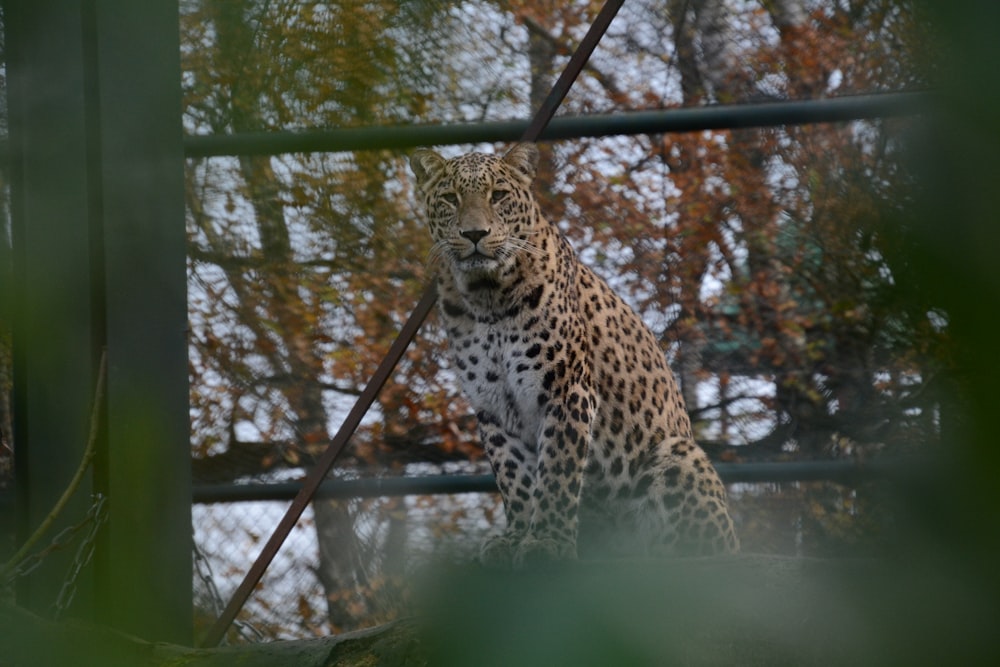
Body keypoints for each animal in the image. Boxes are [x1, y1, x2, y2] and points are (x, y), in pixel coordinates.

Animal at [410, 144, 740, 568]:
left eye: (498, 195)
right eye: (450, 198)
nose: (474, 234)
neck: (487, 297)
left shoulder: (565, 389)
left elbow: (557, 469)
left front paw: (547, 540)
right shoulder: (493, 408)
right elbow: (514, 478)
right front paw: (515, 537)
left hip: (678, 453)